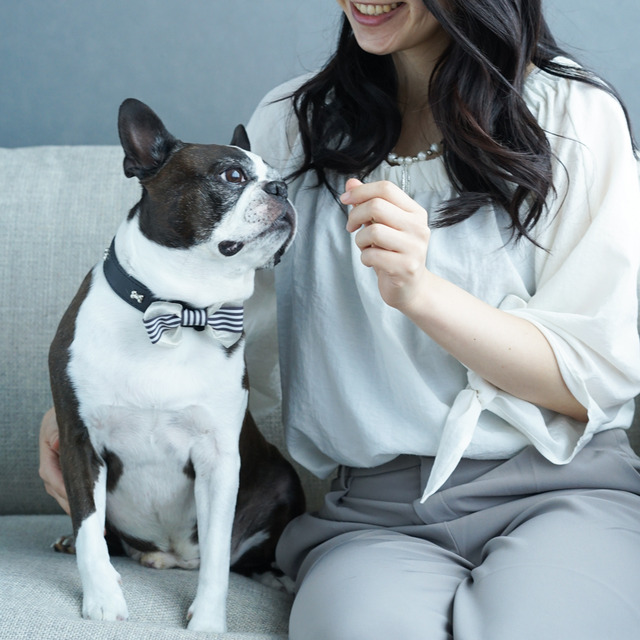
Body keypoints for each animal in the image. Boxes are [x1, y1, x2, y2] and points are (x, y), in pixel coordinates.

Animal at [47, 97, 302, 632]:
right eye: (231, 175)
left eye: (280, 178)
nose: (282, 190)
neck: (179, 310)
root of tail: (170, 555)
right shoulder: (78, 443)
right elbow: (88, 529)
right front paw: (102, 600)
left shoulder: (219, 458)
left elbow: (217, 559)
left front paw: (207, 620)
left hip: (281, 478)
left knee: (238, 556)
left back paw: (276, 578)